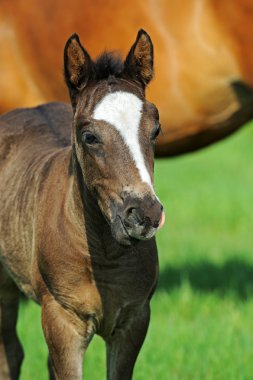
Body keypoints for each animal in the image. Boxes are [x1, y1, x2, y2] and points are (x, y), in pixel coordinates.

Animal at [0, 30, 164, 380]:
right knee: (10, 355)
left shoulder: (134, 319)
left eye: (156, 130)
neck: (105, 254)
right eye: (89, 136)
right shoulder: (62, 319)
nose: (144, 214)